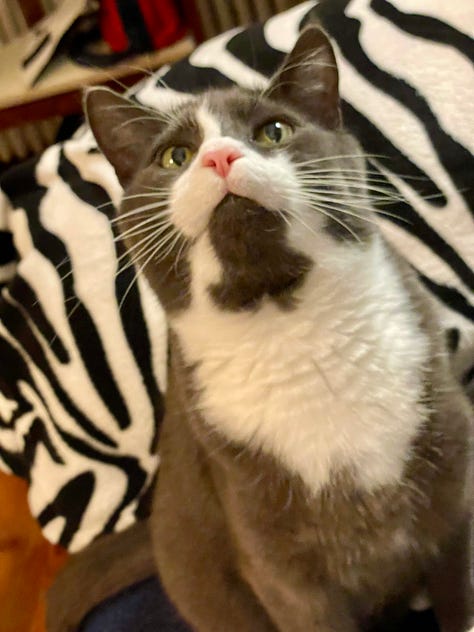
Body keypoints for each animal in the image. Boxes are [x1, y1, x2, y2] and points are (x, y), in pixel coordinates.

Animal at [83, 25, 472, 632]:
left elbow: (460, 590)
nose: (219, 156)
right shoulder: (279, 566)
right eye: (175, 156)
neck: (292, 330)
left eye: (274, 130)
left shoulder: (455, 492)